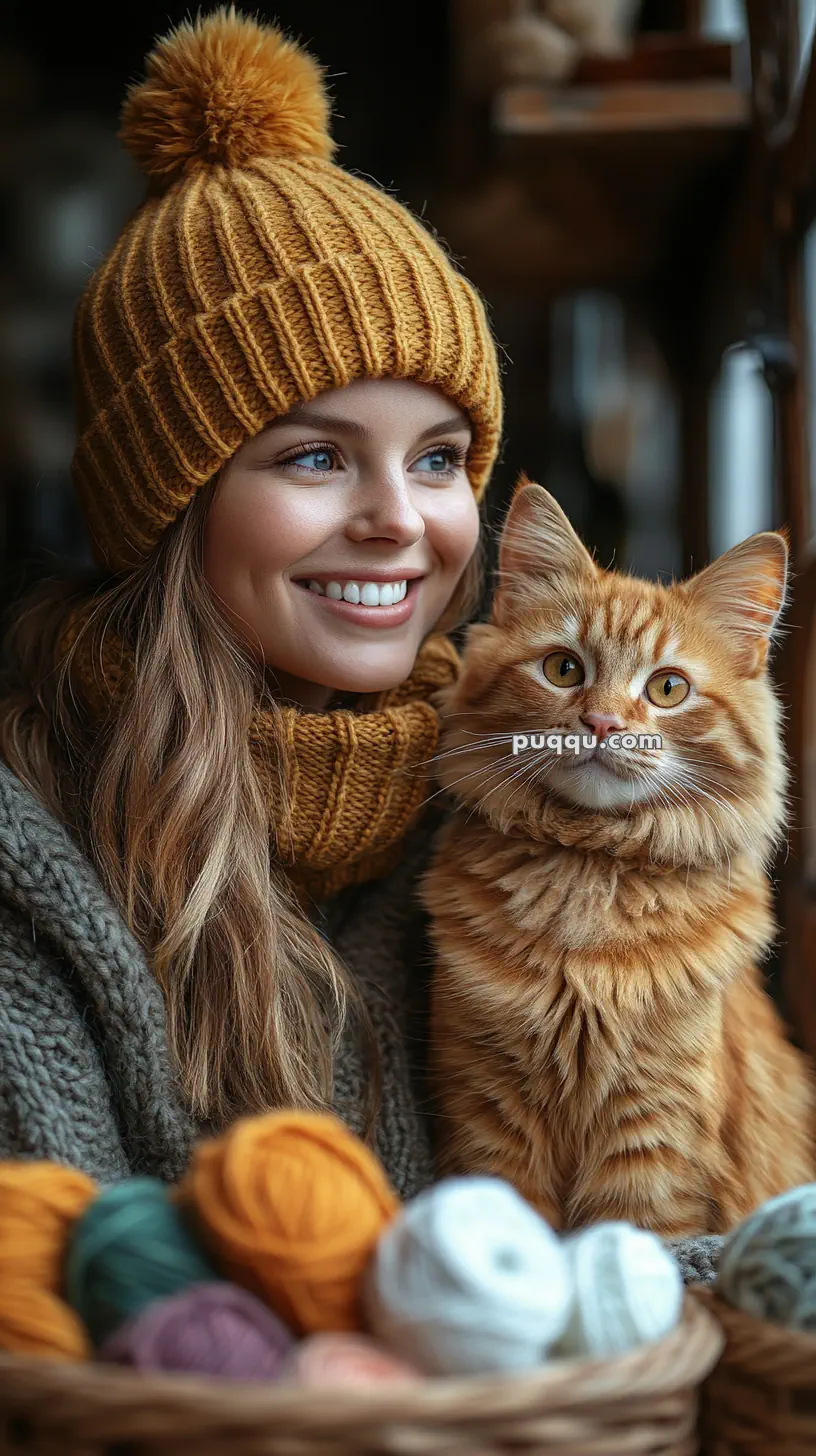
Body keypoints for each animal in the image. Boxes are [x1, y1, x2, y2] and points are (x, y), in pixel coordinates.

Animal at [419, 483, 816, 1234]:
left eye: (667, 689)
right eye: (563, 669)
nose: (601, 724)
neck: (589, 870)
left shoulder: (656, 1132)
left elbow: (637, 1235)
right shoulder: (488, 1106)